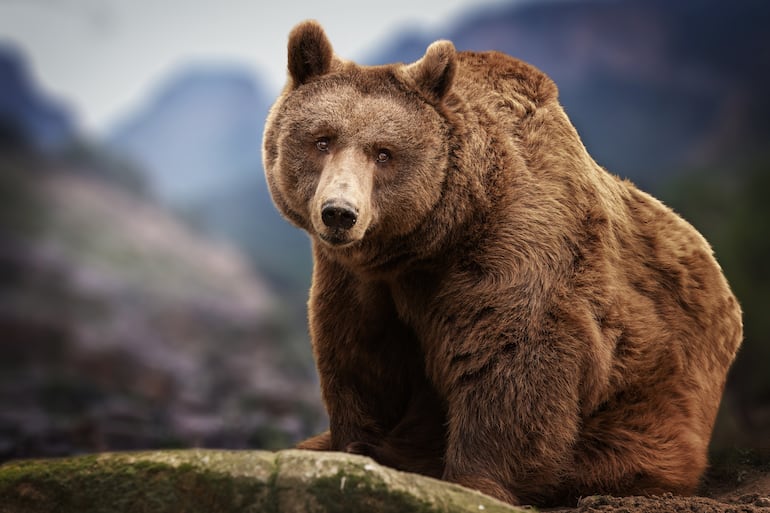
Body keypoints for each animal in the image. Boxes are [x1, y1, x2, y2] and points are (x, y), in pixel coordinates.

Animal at [262, 20, 743, 507]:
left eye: (384, 152)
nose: (339, 213)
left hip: (650, 402)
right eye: (322, 140)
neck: (432, 239)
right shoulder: (358, 279)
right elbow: (360, 354)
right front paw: (356, 446)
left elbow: (511, 359)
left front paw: (474, 479)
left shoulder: (513, 245)